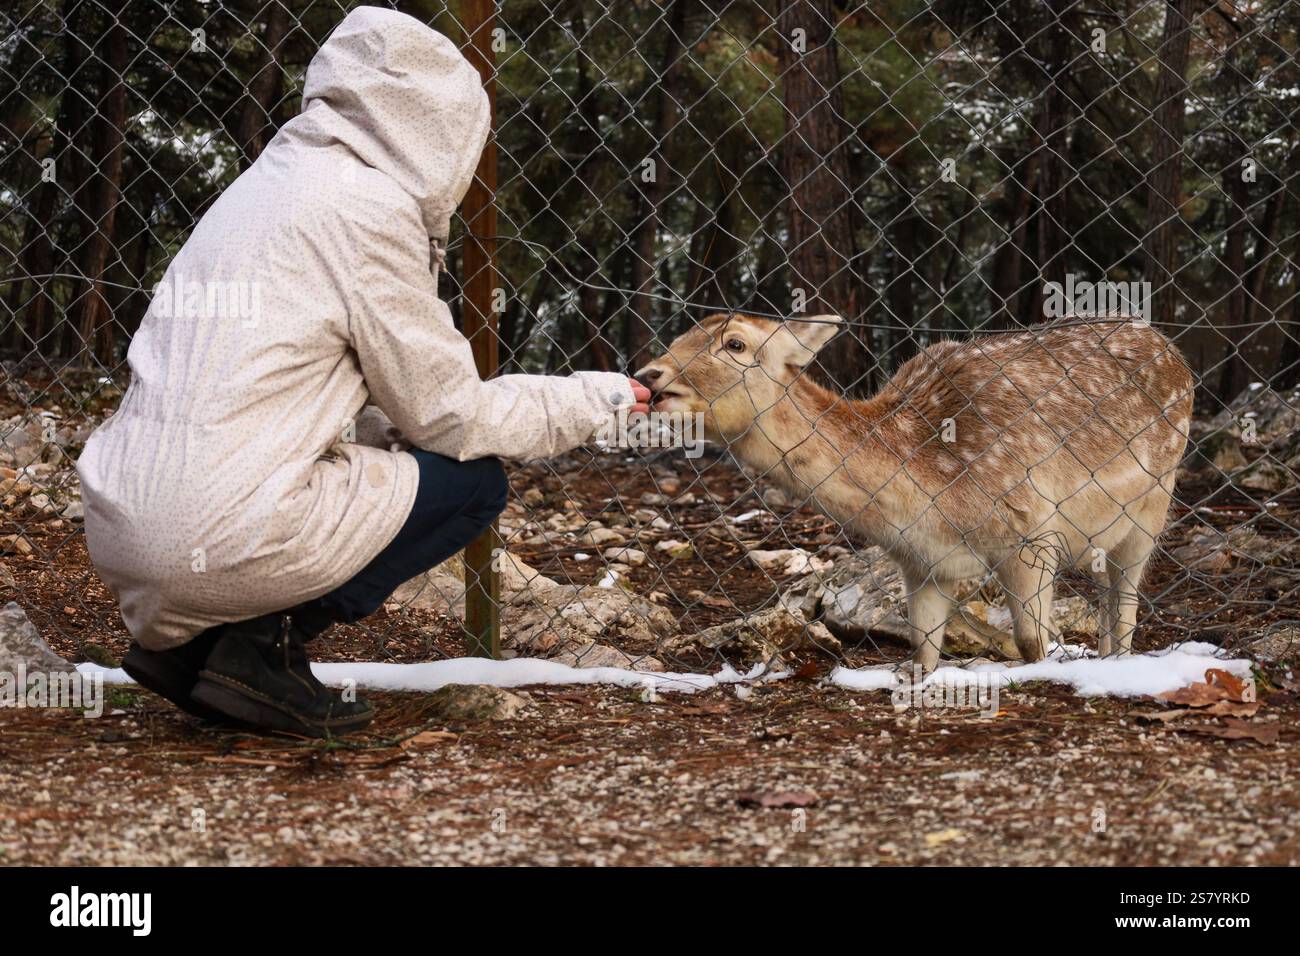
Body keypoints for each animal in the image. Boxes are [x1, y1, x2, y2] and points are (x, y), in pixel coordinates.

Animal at [635, 314, 1193, 672]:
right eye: (682, 333)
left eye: (735, 344)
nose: (648, 374)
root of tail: (1176, 354)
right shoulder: (922, 562)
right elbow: (923, 653)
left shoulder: (1032, 531)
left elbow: (1032, 642)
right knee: (1107, 593)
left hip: (1154, 503)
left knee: (1127, 593)